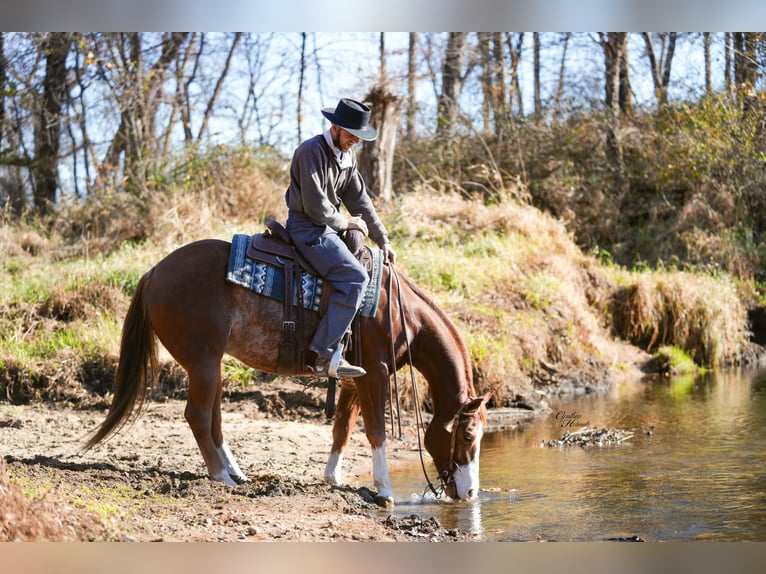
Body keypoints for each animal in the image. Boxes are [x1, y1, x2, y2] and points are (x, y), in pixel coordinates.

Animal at [85, 236, 491, 506]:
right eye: (469, 436)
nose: (470, 492)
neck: (400, 312)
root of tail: (154, 273)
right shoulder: (375, 373)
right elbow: (375, 431)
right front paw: (385, 490)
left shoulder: (354, 378)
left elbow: (342, 427)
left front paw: (332, 476)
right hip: (203, 363)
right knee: (198, 416)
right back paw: (221, 476)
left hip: (212, 366)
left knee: (213, 418)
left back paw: (235, 472)